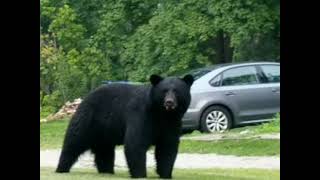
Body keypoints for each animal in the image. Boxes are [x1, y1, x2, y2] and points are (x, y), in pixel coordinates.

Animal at [56, 74, 194, 178]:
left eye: (176, 91)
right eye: (164, 91)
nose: (169, 102)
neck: (162, 115)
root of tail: (87, 96)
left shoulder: (172, 123)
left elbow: (167, 146)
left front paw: (166, 174)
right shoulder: (141, 115)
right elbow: (135, 143)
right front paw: (140, 174)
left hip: (105, 131)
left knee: (104, 151)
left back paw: (107, 171)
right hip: (89, 119)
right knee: (74, 141)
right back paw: (61, 168)